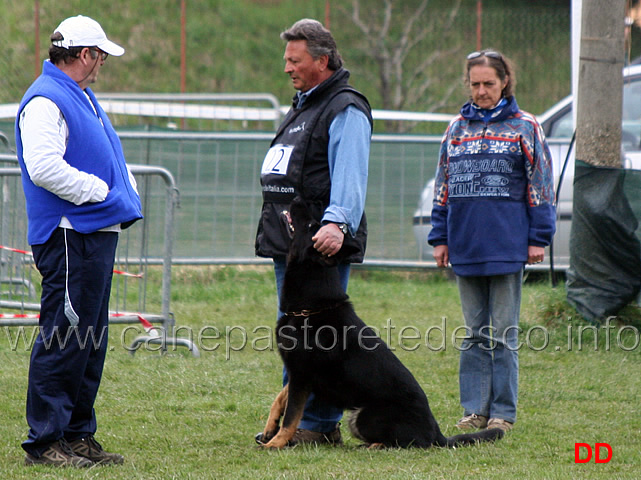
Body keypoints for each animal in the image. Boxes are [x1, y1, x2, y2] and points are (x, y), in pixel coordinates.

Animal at [258, 197, 502, 448]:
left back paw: (374, 446)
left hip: (364, 415)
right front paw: (269, 430)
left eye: (310, 226)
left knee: (403, 443)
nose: (297, 198)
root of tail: (437, 434)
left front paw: (275, 444)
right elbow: (280, 399)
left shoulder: (302, 376)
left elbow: (291, 417)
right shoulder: (298, 373)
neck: (310, 307)